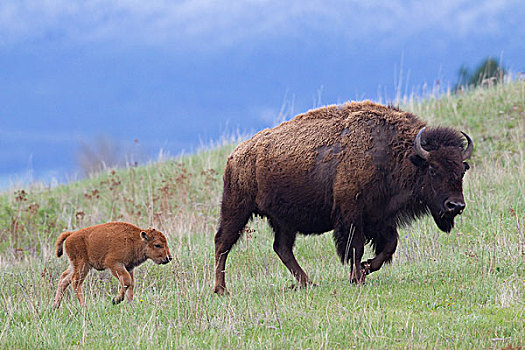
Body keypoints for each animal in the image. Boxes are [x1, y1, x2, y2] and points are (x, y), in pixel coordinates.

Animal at [212, 100, 470, 294]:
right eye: (433, 169)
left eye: (462, 171)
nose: (455, 205)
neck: (395, 155)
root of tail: (236, 156)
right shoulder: (352, 215)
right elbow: (355, 247)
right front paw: (358, 277)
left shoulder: (380, 218)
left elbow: (389, 246)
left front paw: (365, 270)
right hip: (237, 209)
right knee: (222, 243)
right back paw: (221, 290)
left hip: (284, 221)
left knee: (282, 248)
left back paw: (308, 283)